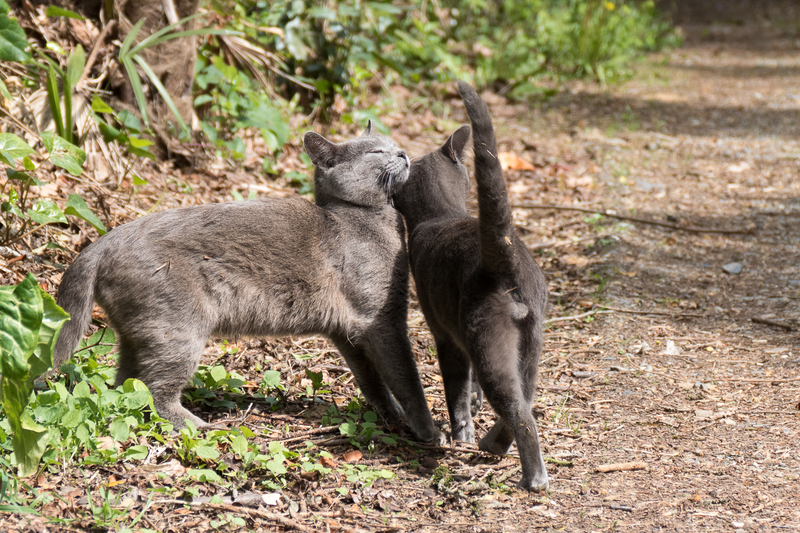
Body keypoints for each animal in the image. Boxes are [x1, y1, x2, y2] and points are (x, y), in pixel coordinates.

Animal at [53, 123, 446, 444]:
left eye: (392, 144)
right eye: (375, 152)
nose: (403, 152)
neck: (369, 219)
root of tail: (103, 242)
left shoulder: (346, 331)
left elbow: (371, 378)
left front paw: (391, 413)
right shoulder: (380, 318)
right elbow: (406, 376)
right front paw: (429, 431)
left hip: (140, 332)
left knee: (126, 387)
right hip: (177, 331)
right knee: (154, 390)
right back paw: (200, 426)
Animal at [394, 83, 552, 490]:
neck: (440, 213)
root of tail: (505, 261)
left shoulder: (444, 334)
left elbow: (457, 389)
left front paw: (460, 433)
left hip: (485, 336)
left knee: (520, 411)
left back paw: (533, 477)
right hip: (531, 340)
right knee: (526, 396)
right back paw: (493, 444)